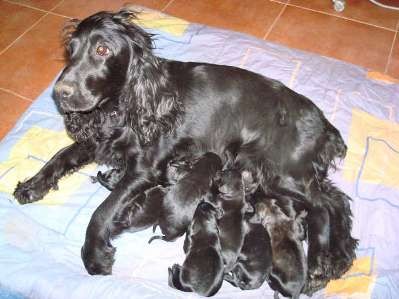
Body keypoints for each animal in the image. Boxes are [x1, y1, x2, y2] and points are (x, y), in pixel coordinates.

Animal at [12, 7, 358, 296]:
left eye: (102, 50)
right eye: (70, 51)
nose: (60, 93)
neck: (128, 101)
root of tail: (323, 123)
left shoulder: (143, 168)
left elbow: (103, 209)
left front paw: (95, 253)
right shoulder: (97, 139)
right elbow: (60, 156)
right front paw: (32, 185)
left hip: (279, 171)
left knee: (322, 207)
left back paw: (318, 265)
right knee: (336, 200)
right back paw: (340, 257)